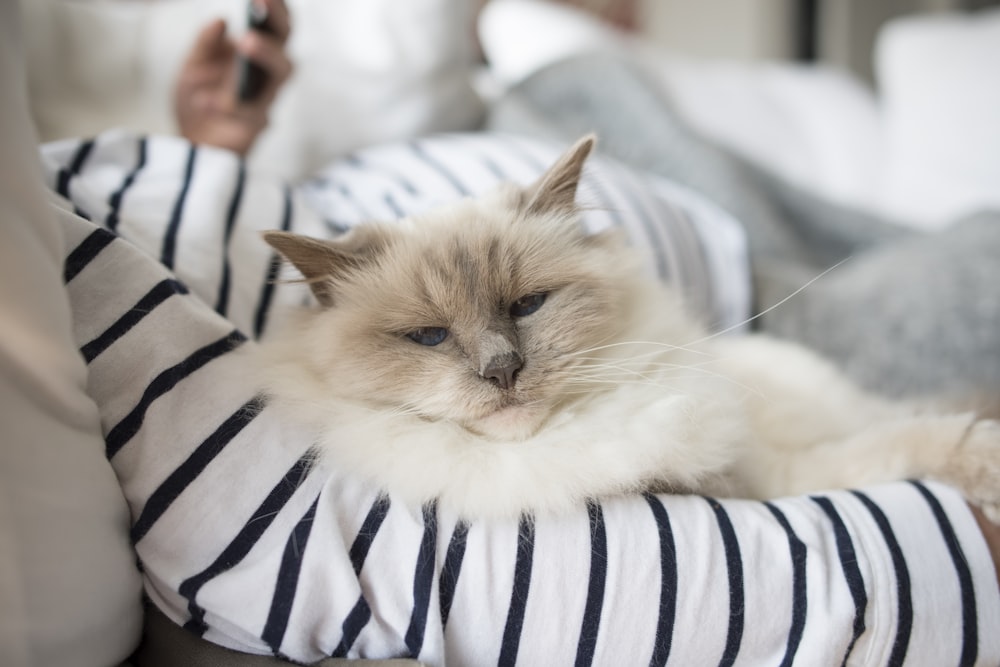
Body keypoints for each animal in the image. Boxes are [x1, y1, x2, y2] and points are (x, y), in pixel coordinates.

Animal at [256, 136, 1000, 520]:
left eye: (528, 305)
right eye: (429, 338)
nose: (502, 370)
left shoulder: (770, 472)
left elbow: (919, 441)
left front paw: (987, 464)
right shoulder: (758, 484)